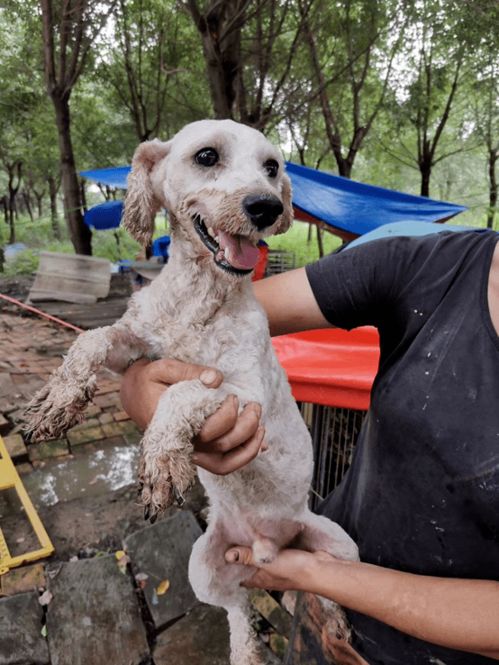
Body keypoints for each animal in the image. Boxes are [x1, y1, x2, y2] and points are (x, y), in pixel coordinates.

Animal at [25, 119, 358, 664]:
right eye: (207, 156)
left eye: (272, 167)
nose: (266, 207)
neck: (199, 297)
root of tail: (266, 548)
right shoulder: (137, 347)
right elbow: (92, 339)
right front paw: (59, 400)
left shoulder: (247, 394)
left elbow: (183, 390)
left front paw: (161, 459)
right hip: (203, 566)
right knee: (238, 608)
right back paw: (246, 651)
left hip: (340, 547)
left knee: (322, 587)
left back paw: (332, 624)